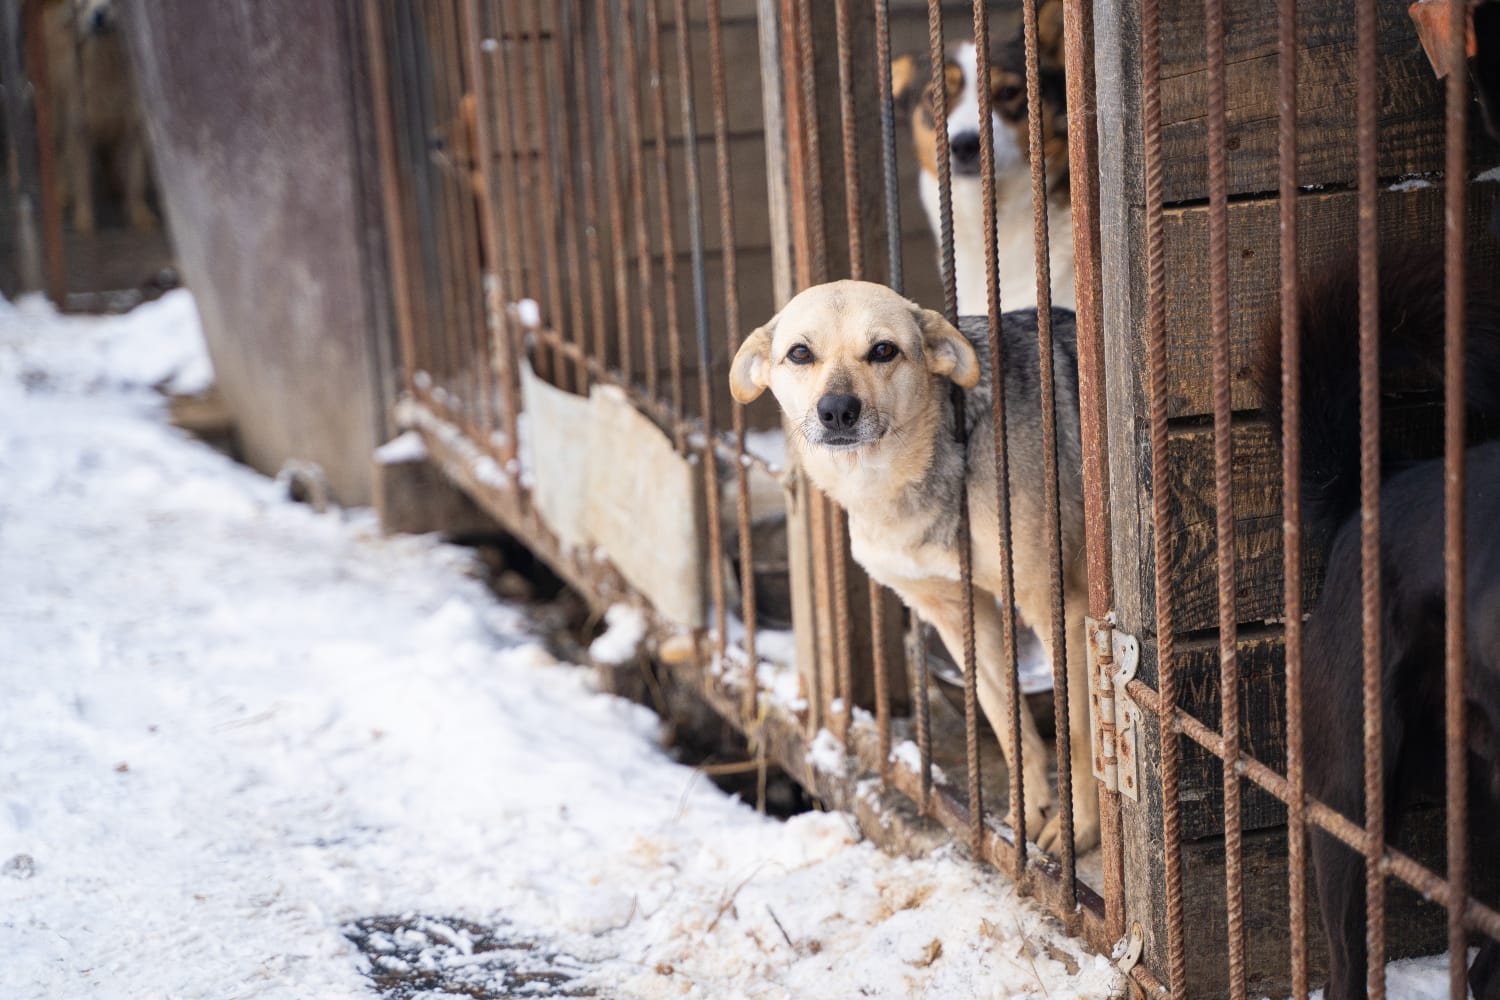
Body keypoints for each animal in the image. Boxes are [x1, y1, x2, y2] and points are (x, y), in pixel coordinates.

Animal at [732, 281, 1098, 851]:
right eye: (800, 353)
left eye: (883, 350)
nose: (837, 411)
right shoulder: (958, 613)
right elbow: (1009, 723)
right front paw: (1027, 814)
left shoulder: (1059, 604)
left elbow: (1078, 732)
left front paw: (1078, 827)